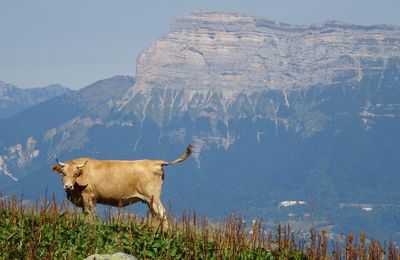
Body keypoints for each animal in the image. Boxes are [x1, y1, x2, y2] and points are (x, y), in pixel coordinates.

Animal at [51, 144, 192, 223]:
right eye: (63, 173)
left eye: (75, 174)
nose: (68, 186)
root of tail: (155, 162)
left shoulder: (88, 196)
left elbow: (88, 214)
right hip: (149, 200)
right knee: (155, 214)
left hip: (153, 196)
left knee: (162, 213)